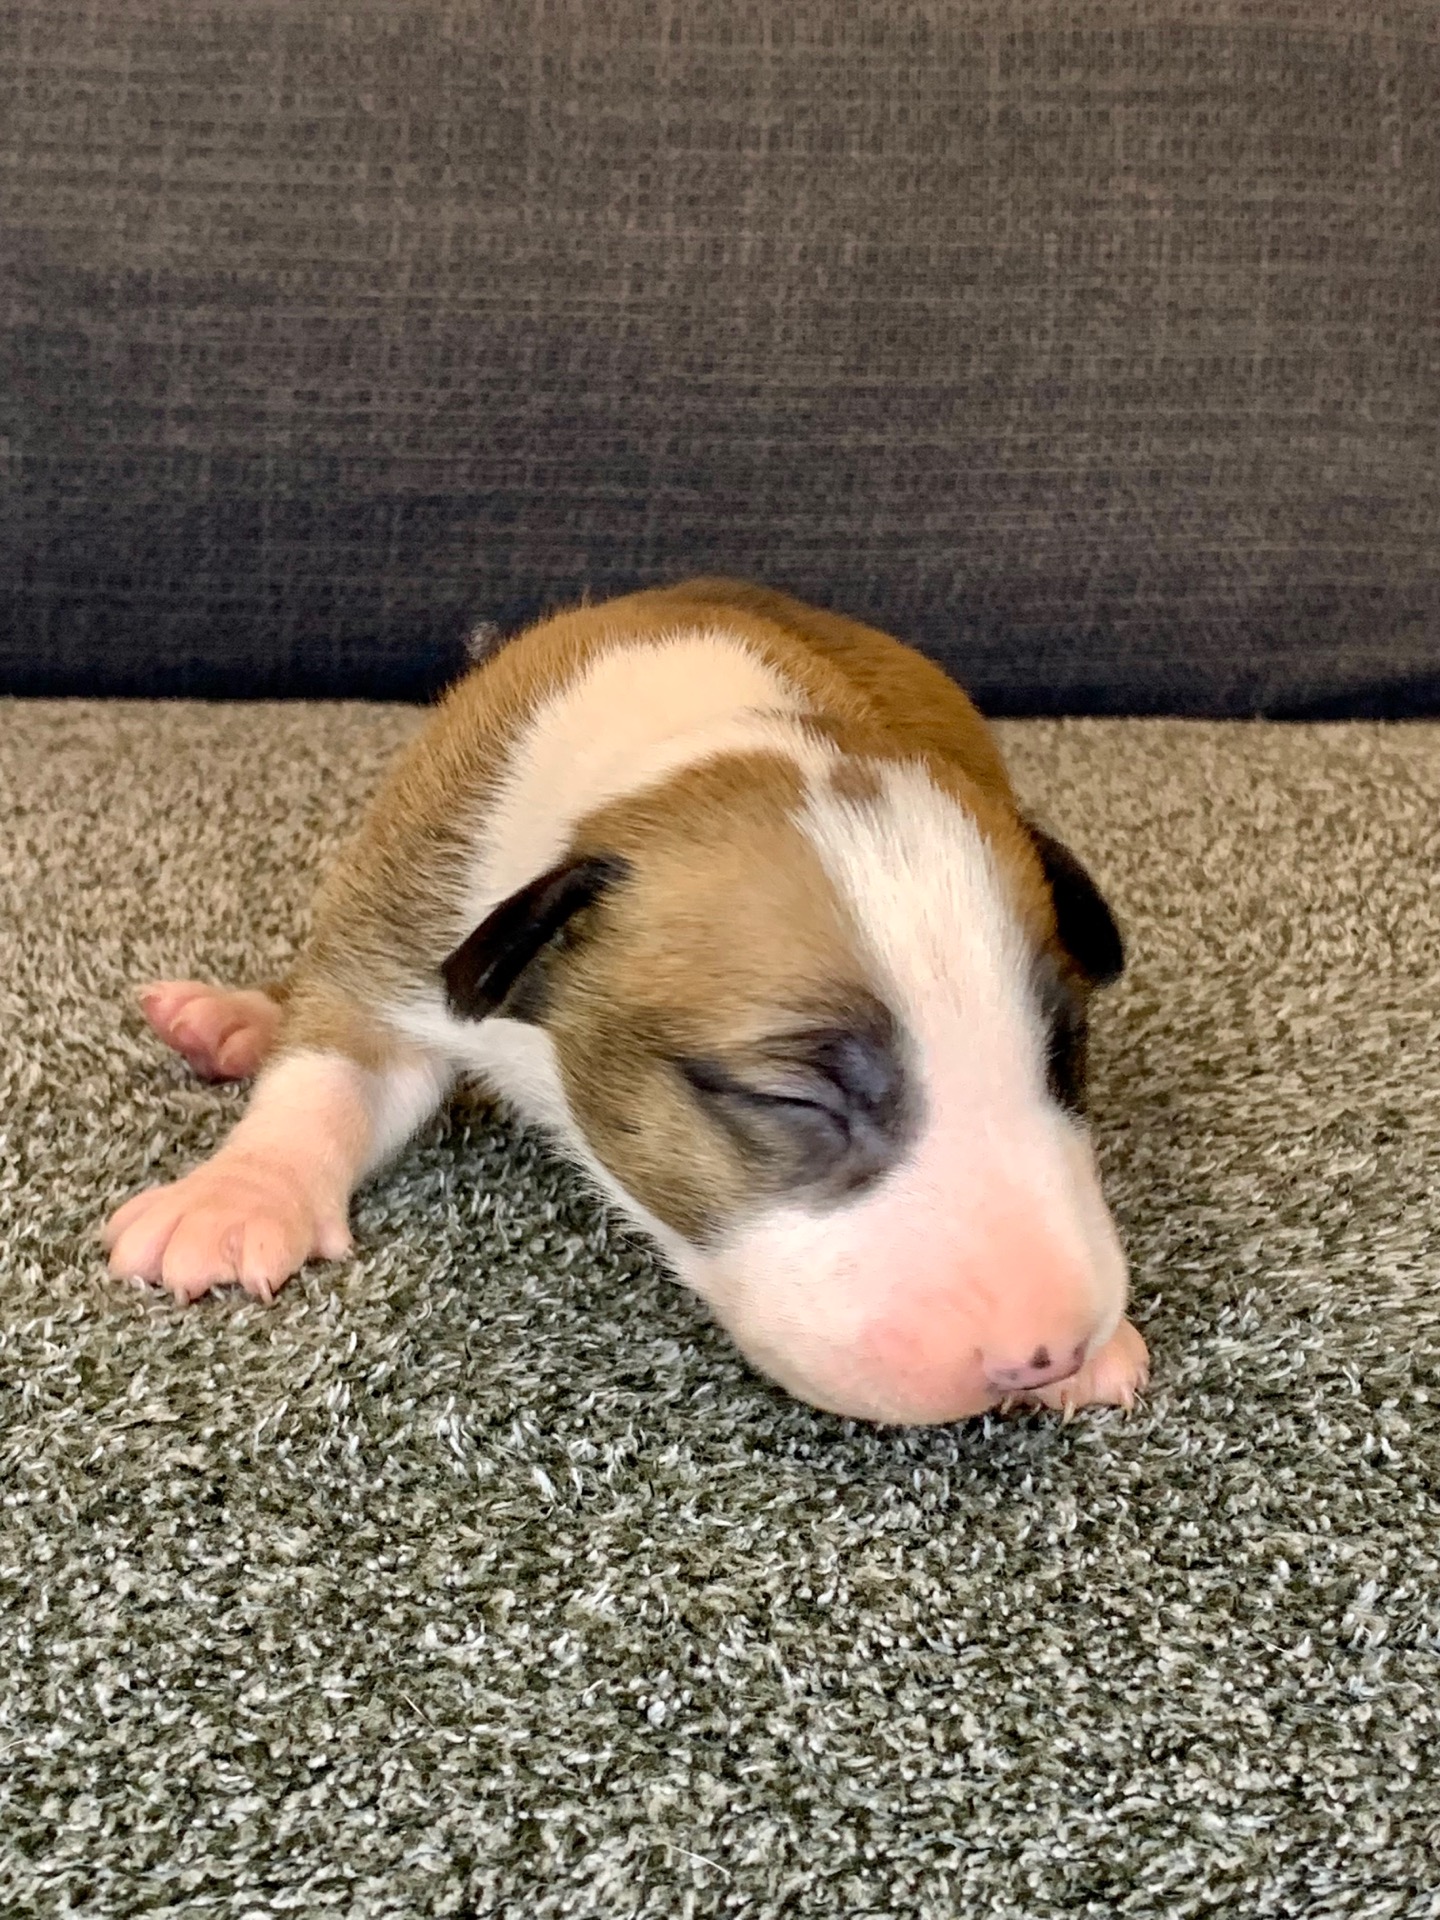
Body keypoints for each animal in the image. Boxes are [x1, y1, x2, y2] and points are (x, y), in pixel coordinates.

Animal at [104, 579, 1148, 1424]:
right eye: (788, 1099)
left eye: (1064, 1057)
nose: (1050, 1354)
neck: (703, 742)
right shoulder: (410, 913)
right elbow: (328, 1070)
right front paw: (238, 1194)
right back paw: (236, 1019)